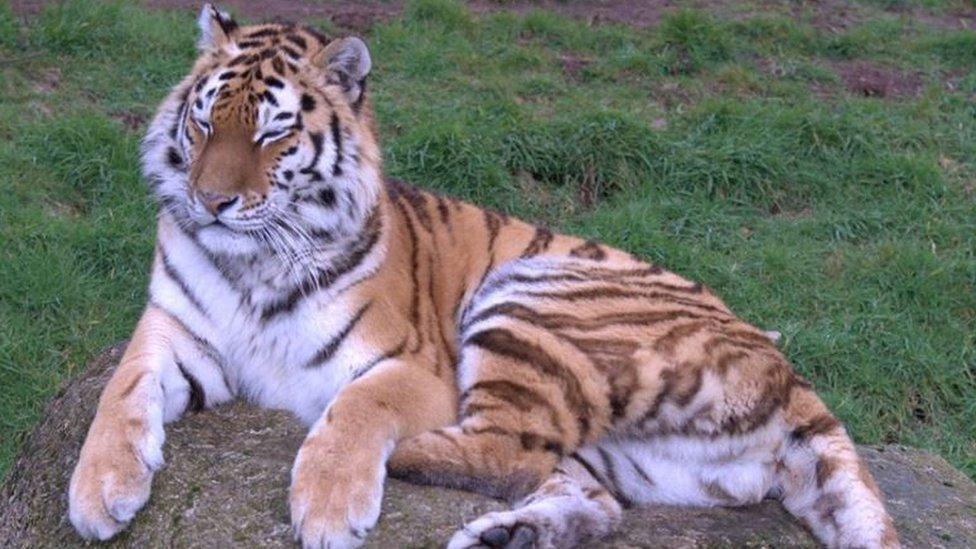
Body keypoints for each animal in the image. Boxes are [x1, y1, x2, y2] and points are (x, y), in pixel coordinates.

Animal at [66, 5, 900, 548]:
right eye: (205, 120)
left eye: (272, 131)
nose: (211, 201)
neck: (254, 261)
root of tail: (790, 371)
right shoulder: (173, 332)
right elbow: (119, 395)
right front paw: (98, 490)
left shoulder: (412, 365)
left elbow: (358, 408)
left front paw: (328, 504)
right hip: (619, 451)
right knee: (571, 485)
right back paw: (511, 534)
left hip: (529, 296)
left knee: (507, 447)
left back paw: (411, 463)